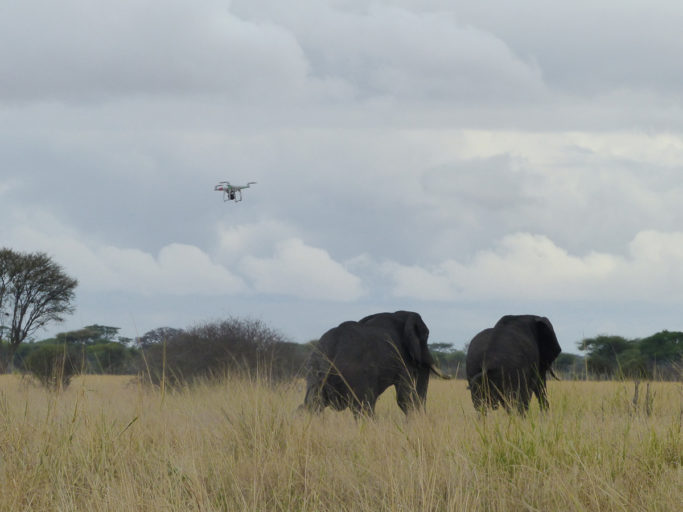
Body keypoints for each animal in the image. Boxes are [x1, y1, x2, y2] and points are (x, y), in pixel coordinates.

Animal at [302, 312, 452, 416]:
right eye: (425, 336)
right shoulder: (401, 358)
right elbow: (405, 397)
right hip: (354, 374)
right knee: (364, 408)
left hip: (313, 372)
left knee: (310, 405)